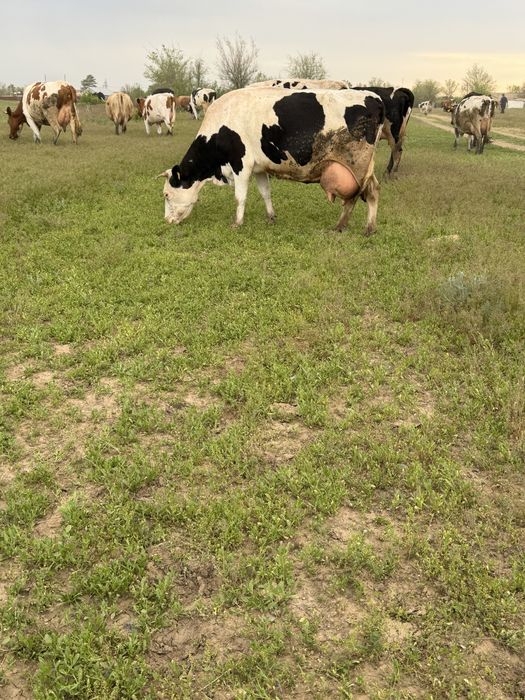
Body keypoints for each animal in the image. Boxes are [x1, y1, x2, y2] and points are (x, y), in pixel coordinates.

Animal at [159, 87, 385, 235]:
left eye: (167, 194)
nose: (166, 220)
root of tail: (374, 97)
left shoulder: (241, 164)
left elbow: (240, 197)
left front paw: (237, 223)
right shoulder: (259, 168)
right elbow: (265, 193)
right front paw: (271, 217)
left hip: (356, 166)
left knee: (354, 197)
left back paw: (343, 226)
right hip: (364, 168)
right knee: (373, 191)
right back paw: (368, 228)